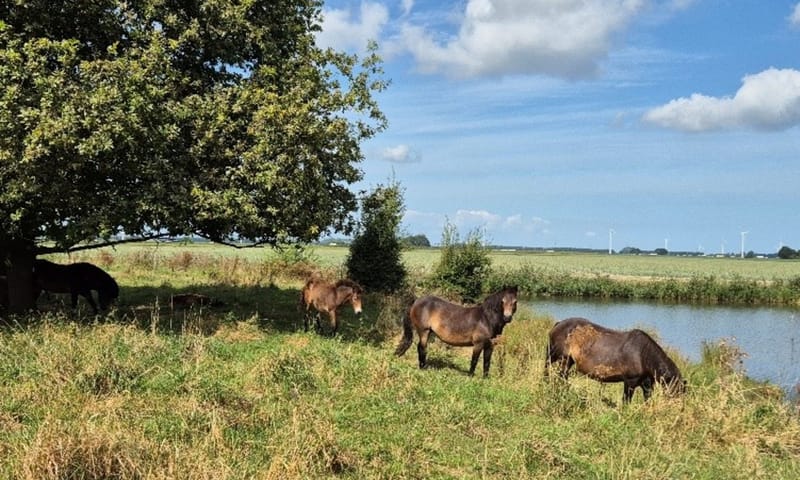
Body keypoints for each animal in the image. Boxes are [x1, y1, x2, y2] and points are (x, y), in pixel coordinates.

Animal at [545, 317, 686, 403]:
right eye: (676, 389)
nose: (679, 407)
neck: (643, 355)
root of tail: (558, 324)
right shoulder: (630, 382)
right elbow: (626, 401)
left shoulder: (647, 385)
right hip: (559, 357)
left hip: (566, 360)